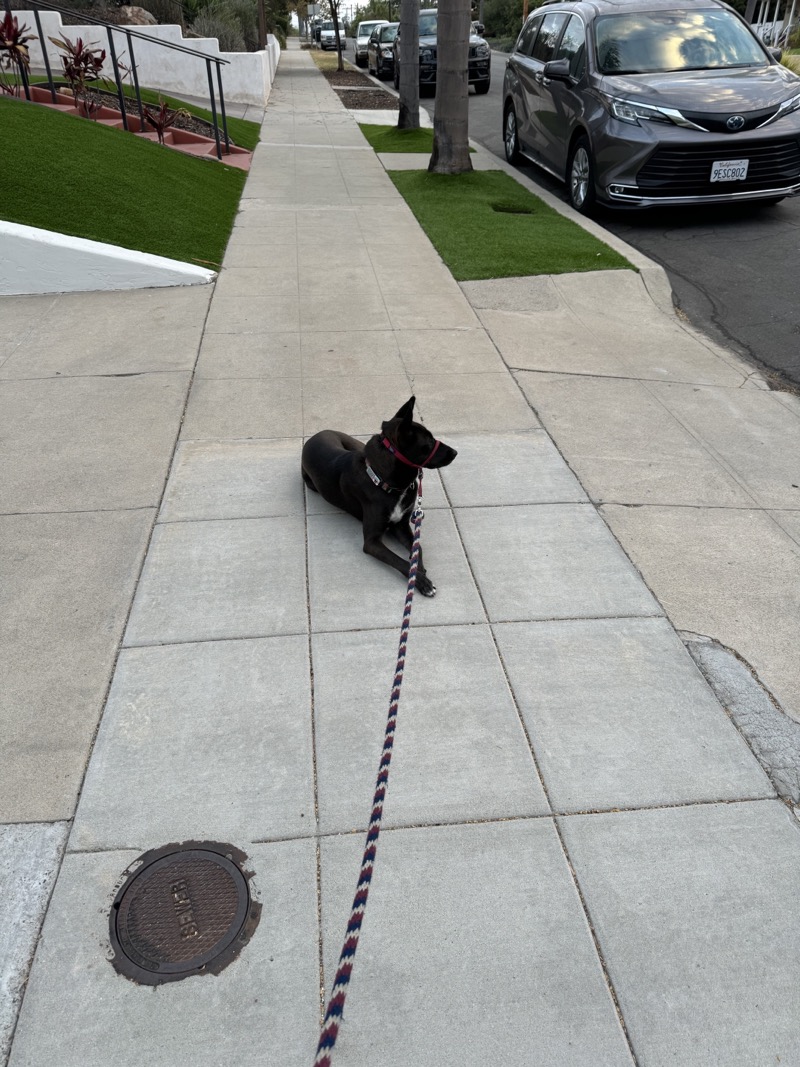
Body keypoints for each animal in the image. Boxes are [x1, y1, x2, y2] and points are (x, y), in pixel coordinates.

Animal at [302, 396, 456, 597]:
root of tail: (315, 435)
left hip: (356, 445)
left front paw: (419, 569)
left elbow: (418, 548)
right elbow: (399, 561)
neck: (387, 483)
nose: (455, 452)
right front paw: (420, 579)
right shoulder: (372, 542)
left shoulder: (401, 526)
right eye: (429, 444)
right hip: (311, 483)